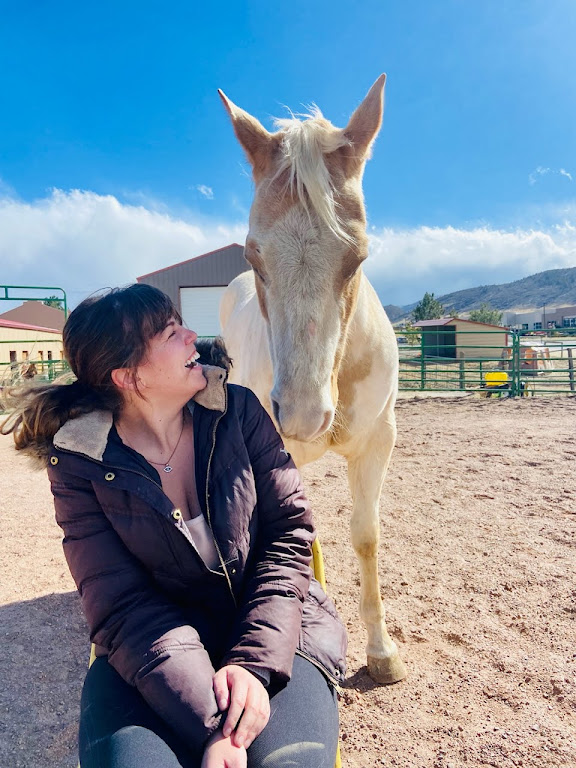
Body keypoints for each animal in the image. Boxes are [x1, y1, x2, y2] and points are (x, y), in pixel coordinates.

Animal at [218, 75, 406, 684]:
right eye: (254, 255)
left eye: (359, 256)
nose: (302, 416)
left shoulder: (378, 443)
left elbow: (366, 536)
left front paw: (381, 652)